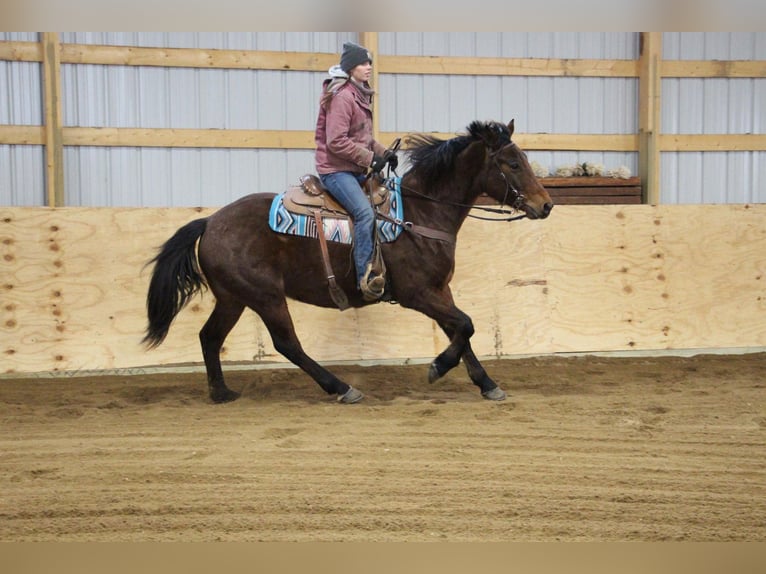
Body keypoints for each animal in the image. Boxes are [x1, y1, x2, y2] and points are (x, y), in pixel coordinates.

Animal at [142, 118, 552, 404]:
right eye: (512, 163)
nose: (545, 204)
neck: (421, 213)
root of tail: (210, 221)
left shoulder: (440, 290)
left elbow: (460, 331)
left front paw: (488, 384)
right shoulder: (417, 294)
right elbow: (465, 325)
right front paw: (437, 368)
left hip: (233, 298)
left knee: (210, 336)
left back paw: (221, 393)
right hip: (264, 296)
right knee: (287, 344)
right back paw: (341, 387)